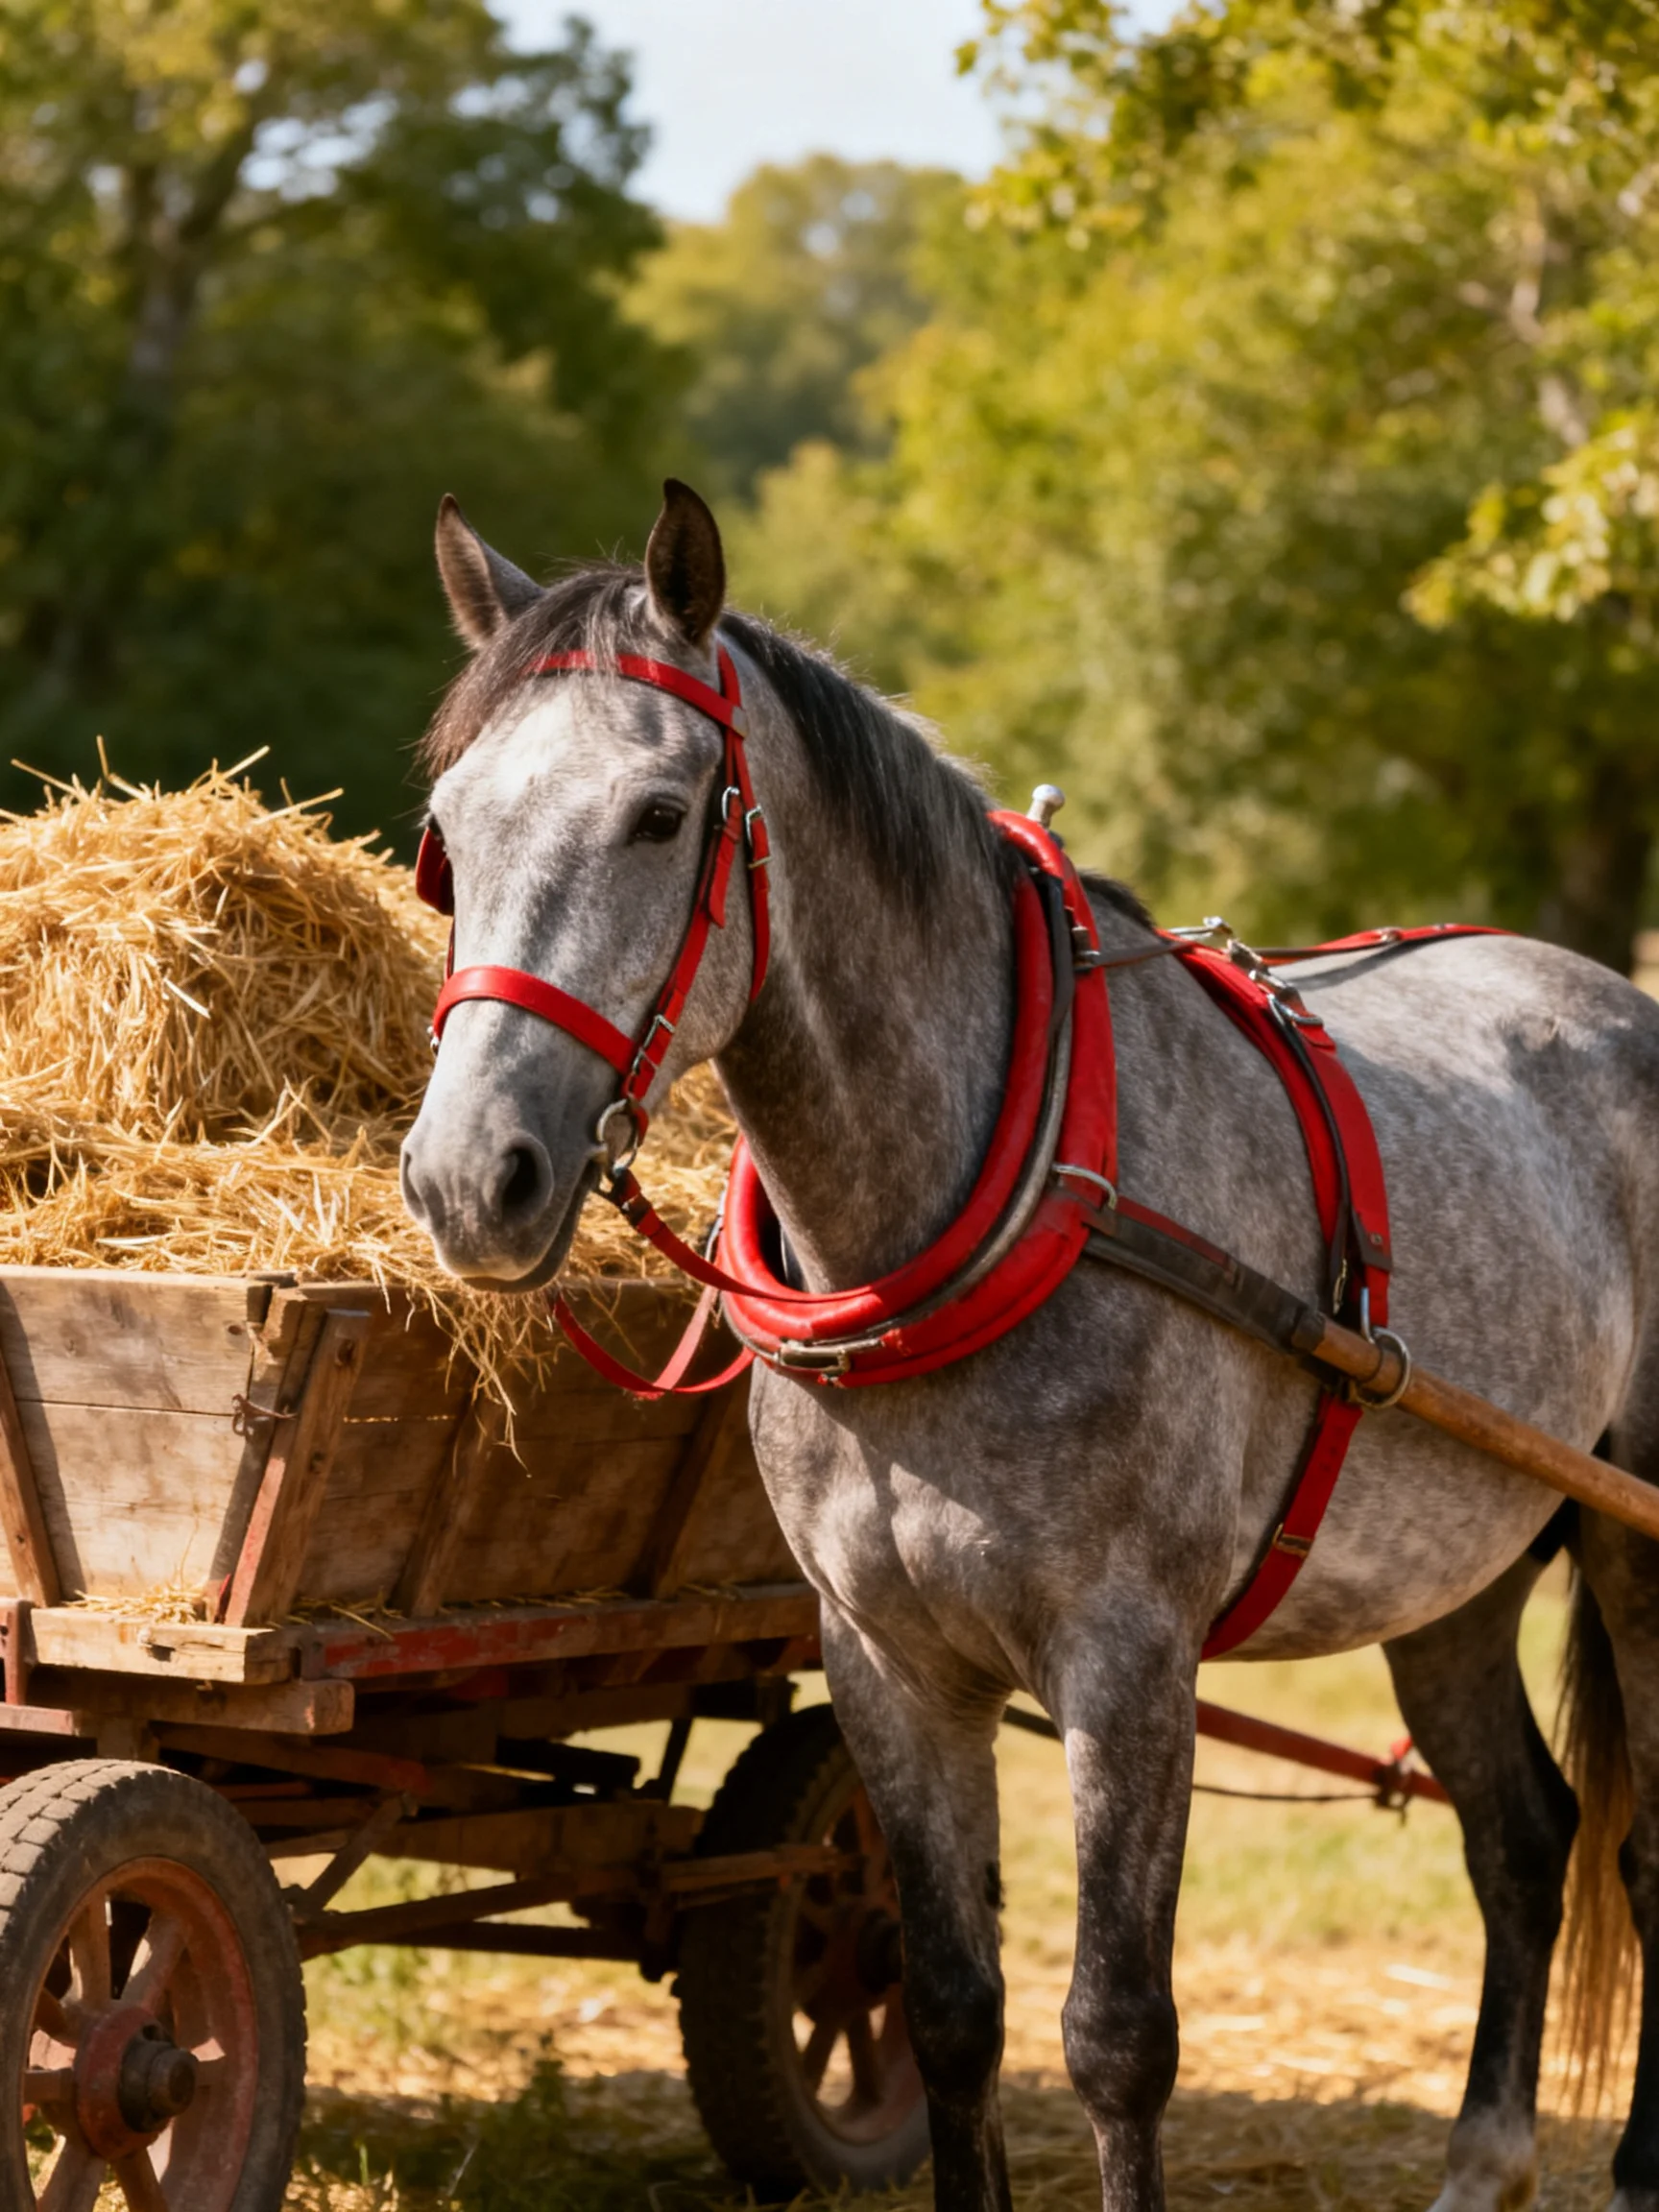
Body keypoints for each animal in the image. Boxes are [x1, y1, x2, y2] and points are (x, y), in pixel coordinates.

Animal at [400, 478, 1659, 2212]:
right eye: (449, 833)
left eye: (659, 816)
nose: (472, 1178)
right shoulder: (886, 1656)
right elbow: (948, 2006)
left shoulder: (1126, 1662)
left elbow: (1114, 2034)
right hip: (1452, 1575)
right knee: (1523, 1840)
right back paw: (1481, 2161)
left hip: (1632, 1546)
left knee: (1641, 1848)